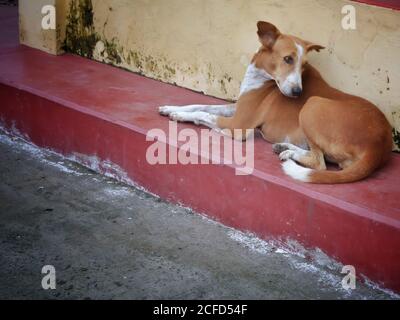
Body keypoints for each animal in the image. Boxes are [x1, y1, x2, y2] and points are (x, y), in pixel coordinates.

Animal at [159, 21, 390, 184]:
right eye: (288, 59)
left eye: (304, 65)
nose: (298, 92)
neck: (262, 77)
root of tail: (379, 145)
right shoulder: (237, 108)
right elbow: (201, 105)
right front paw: (172, 108)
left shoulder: (239, 126)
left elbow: (204, 114)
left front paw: (181, 116)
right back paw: (285, 148)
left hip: (312, 105)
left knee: (320, 163)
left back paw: (290, 152)